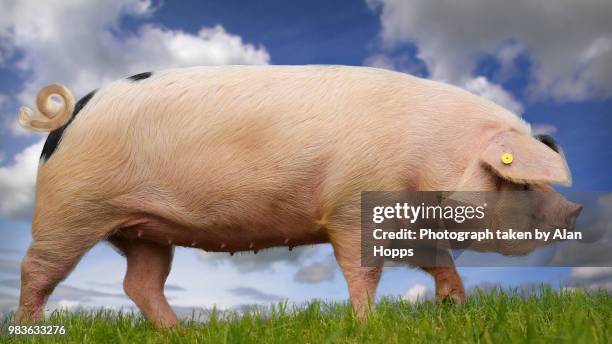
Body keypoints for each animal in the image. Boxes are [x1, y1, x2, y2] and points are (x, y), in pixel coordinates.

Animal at [13, 65, 580, 328]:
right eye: (517, 179)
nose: (571, 211)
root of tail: (70, 115)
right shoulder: (352, 207)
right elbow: (362, 269)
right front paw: (368, 324)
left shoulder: (410, 222)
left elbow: (438, 259)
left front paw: (455, 308)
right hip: (71, 208)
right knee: (36, 268)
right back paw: (32, 327)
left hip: (146, 229)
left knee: (140, 282)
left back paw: (182, 333)